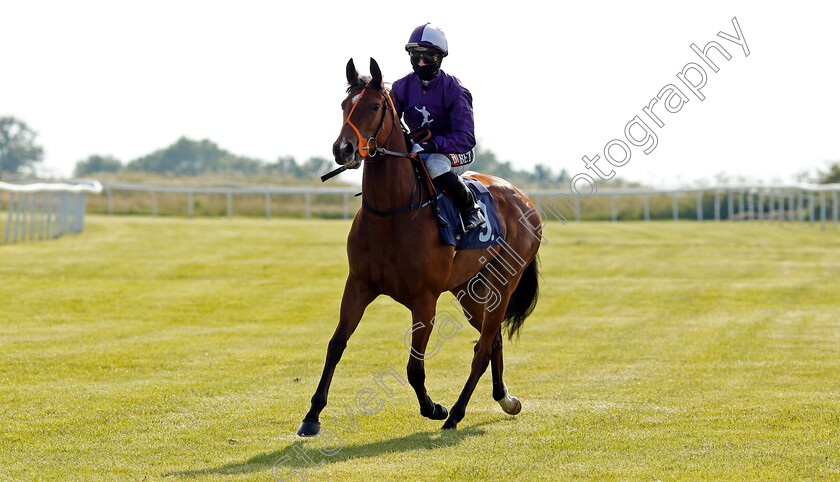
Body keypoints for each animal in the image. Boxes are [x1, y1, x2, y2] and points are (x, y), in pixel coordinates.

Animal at [298, 58, 540, 434]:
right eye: (343, 105)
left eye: (375, 106)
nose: (344, 149)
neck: (393, 213)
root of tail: (524, 199)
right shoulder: (358, 285)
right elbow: (336, 345)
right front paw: (311, 416)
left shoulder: (425, 299)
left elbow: (414, 367)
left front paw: (434, 407)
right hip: (470, 290)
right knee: (493, 339)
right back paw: (505, 399)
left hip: (504, 282)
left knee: (483, 349)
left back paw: (456, 413)